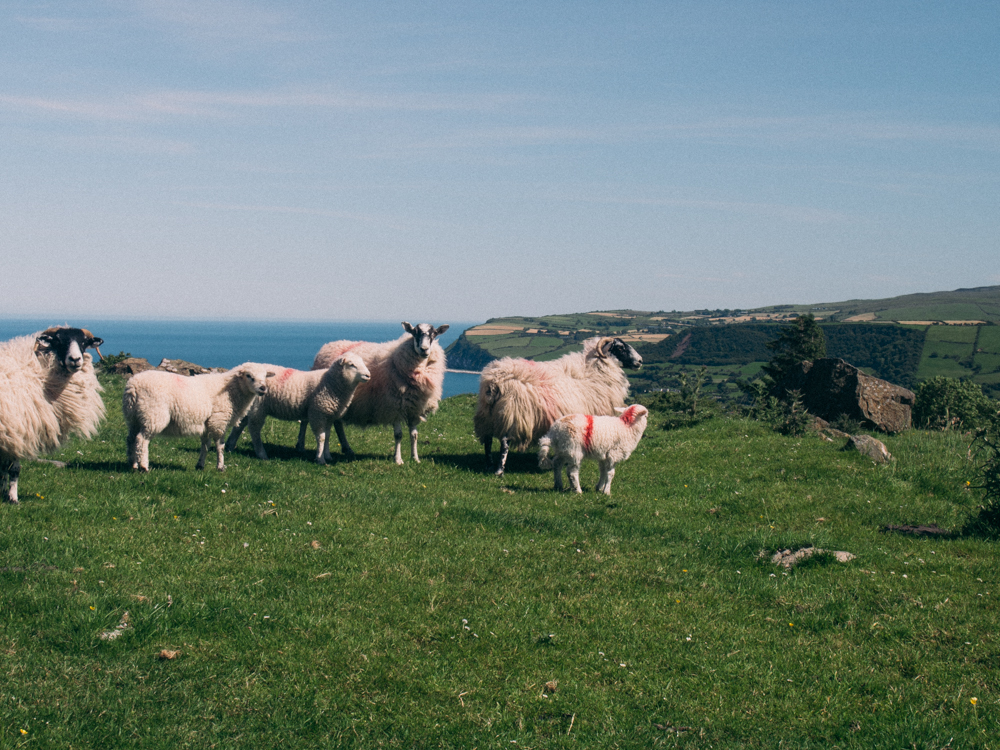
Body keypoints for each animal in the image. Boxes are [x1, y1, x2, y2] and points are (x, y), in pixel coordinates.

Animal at [0, 328, 107, 506]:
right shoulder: (19, 429)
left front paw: (3, 494)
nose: (75, 360)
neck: (37, 374)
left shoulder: (10, 435)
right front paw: (13, 498)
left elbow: (3, 469)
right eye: (58, 341)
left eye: (83, 342)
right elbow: (14, 470)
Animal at [123, 362, 276, 472]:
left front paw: (200, 465)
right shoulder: (219, 421)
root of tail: (133, 386)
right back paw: (144, 467)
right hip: (153, 415)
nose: (263, 388)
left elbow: (205, 445)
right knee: (142, 440)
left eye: (264, 376)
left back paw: (133, 464)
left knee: (131, 439)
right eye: (249, 375)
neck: (232, 389)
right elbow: (220, 446)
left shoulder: (206, 423)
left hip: (134, 417)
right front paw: (220, 467)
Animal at [223, 352, 372, 464]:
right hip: (258, 407)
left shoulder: (328, 416)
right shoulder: (317, 414)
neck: (330, 382)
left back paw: (230, 446)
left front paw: (328, 456)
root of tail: (240, 368)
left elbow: (328, 436)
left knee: (240, 425)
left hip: (248, 406)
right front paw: (320, 459)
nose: (368, 375)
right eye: (351, 365)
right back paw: (262, 454)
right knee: (254, 430)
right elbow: (321, 437)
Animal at [292, 322, 450, 464]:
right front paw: (398, 459)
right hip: (315, 394)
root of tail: (327, 346)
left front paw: (415, 458)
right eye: (414, 333)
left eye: (434, 334)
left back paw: (346, 448)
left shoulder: (414, 408)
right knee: (305, 420)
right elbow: (398, 435)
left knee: (337, 424)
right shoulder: (394, 405)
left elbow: (414, 435)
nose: (424, 349)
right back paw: (301, 446)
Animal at [474, 336, 644, 476]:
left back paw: (489, 465)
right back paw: (499, 470)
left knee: (487, 439)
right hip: (514, 414)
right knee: (504, 442)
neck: (595, 370)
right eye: (620, 348)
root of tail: (494, 381)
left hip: (487, 415)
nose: (640, 361)